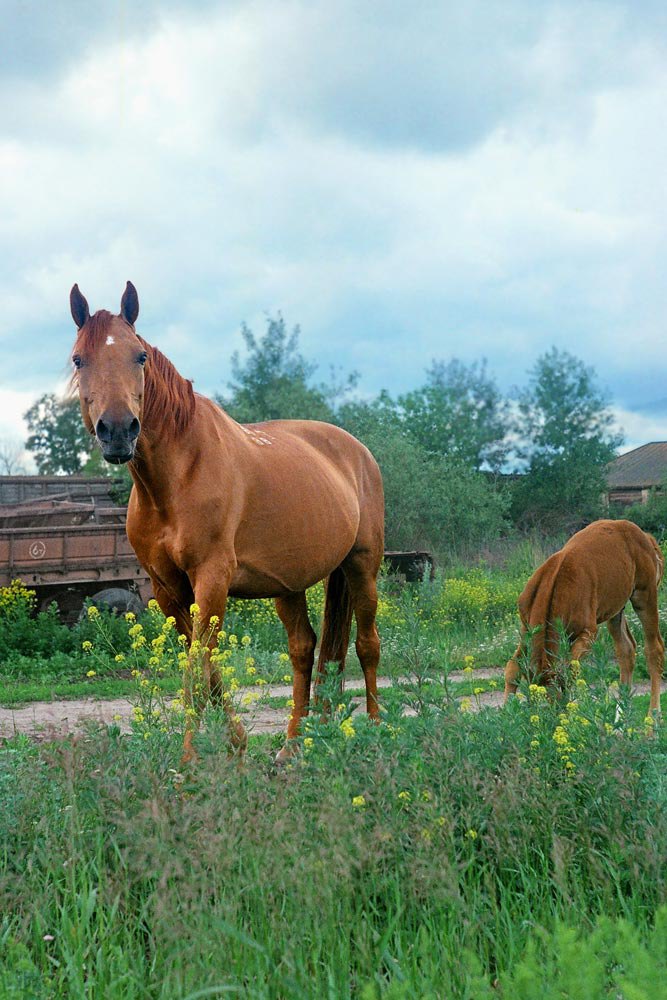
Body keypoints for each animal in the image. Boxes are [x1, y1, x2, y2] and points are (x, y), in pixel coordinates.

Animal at [70, 278, 384, 760]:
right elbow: (206, 668)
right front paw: (236, 743)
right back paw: (291, 747)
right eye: (78, 359)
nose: (119, 430)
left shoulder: (212, 578)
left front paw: (188, 764)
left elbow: (198, 676)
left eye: (139, 356)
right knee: (304, 649)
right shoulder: (168, 589)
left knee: (368, 645)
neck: (178, 476)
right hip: (288, 585)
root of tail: (358, 451)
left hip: (363, 567)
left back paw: (379, 731)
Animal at [506, 520, 664, 716]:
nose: (553, 718)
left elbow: (570, 672)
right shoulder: (525, 629)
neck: (557, 585)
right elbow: (512, 669)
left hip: (645, 595)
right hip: (616, 609)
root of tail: (647, 538)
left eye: (556, 699)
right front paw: (506, 715)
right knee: (626, 650)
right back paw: (621, 717)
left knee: (654, 650)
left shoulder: (587, 633)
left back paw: (653, 717)